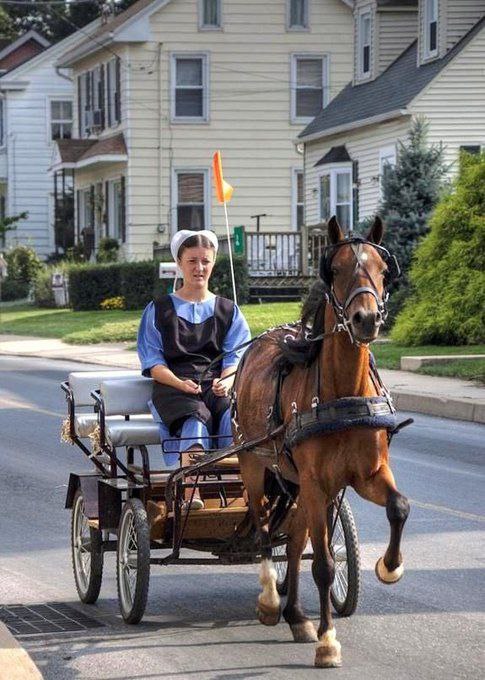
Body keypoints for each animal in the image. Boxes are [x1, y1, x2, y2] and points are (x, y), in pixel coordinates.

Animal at [234, 215, 408, 668]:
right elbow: (326, 564)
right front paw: (328, 641)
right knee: (265, 530)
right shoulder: (315, 483)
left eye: (381, 270)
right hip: (255, 464)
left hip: (298, 486)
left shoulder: (365, 475)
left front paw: (390, 565)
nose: (366, 319)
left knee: (294, 542)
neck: (341, 391)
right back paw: (269, 601)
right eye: (338, 268)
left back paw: (296, 614)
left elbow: (398, 507)